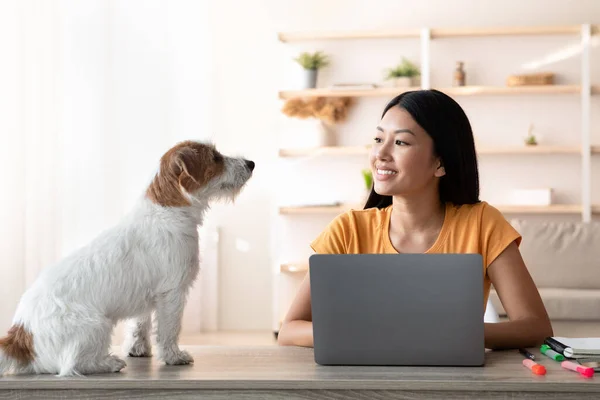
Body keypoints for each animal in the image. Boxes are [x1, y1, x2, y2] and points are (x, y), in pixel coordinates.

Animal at [0, 140, 253, 376]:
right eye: (215, 157)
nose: (251, 163)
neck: (168, 211)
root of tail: (20, 336)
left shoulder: (147, 294)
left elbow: (139, 324)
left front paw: (138, 349)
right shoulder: (172, 292)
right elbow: (169, 329)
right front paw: (173, 356)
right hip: (97, 325)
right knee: (74, 365)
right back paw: (110, 363)